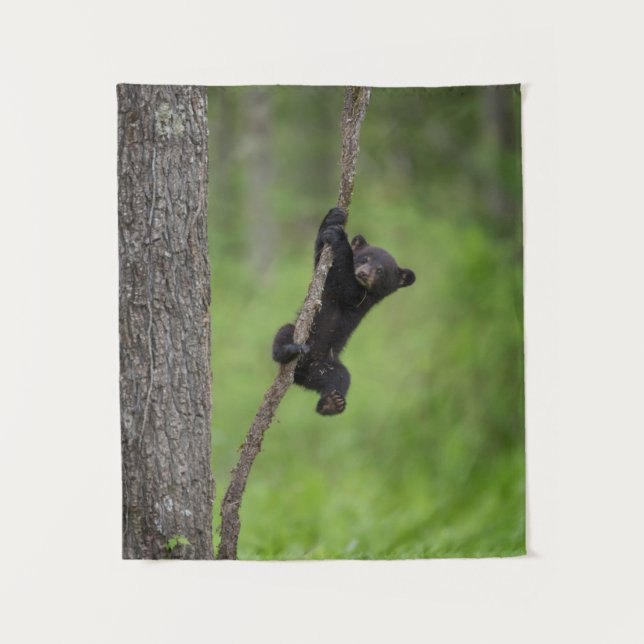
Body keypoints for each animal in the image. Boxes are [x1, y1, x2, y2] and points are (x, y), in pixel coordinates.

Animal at [272, 207, 416, 415]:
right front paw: (333, 217)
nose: (363, 273)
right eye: (363, 259)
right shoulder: (326, 278)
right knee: (284, 334)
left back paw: (331, 403)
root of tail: (301, 376)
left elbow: (347, 285)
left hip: (328, 365)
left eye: (380, 271)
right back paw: (289, 349)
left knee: (341, 378)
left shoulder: (361, 299)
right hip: (300, 336)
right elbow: (320, 256)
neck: (364, 287)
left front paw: (340, 237)